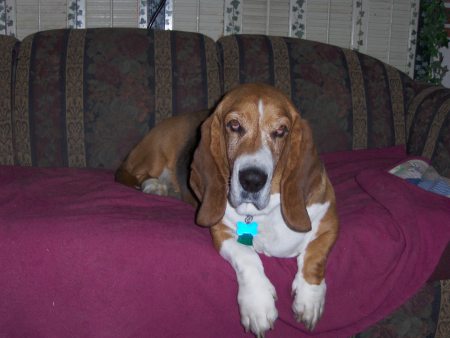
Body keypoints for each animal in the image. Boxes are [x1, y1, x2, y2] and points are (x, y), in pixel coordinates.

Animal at [115, 83, 338, 336]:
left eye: (281, 130)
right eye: (234, 125)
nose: (252, 180)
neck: (264, 212)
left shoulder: (330, 222)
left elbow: (315, 256)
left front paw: (309, 301)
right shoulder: (221, 231)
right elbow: (248, 256)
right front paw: (258, 304)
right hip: (156, 154)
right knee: (139, 174)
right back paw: (155, 186)